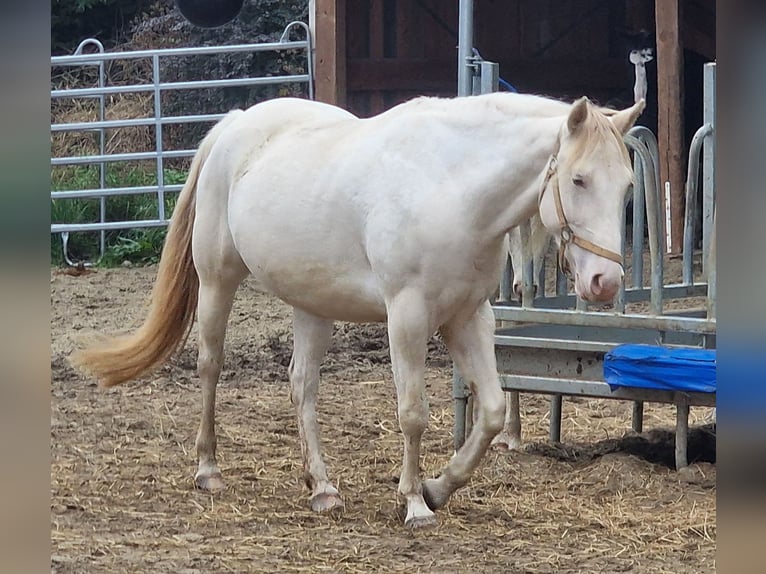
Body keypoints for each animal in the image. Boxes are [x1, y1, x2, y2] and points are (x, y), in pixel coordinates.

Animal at [71, 93, 644, 528]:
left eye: (627, 186)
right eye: (578, 180)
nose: (606, 282)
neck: (450, 186)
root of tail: (234, 124)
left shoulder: (468, 316)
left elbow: (492, 410)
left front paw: (438, 487)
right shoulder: (407, 316)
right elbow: (413, 413)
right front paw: (414, 503)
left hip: (312, 305)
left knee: (301, 385)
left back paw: (322, 487)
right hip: (217, 281)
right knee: (210, 366)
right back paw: (209, 470)